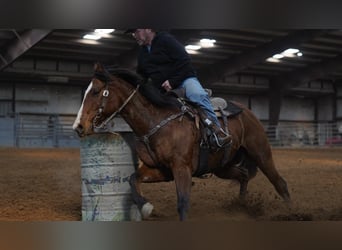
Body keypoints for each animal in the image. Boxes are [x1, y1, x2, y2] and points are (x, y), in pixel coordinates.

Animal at [73, 62, 290, 221]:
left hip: (261, 153)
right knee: (244, 175)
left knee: (280, 183)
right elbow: (133, 180)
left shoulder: (181, 168)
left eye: (96, 91)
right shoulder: (161, 170)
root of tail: (247, 111)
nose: (79, 126)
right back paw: (242, 206)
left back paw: (290, 211)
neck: (156, 121)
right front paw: (146, 207)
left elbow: (183, 203)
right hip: (222, 165)